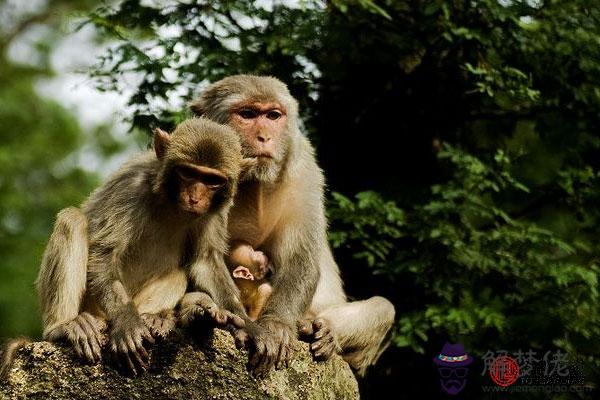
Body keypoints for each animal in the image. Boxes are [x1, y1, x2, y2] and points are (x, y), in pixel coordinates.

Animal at [22, 117, 248, 376]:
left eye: (212, 181)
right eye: (188, 173)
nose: (195, 197)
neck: (171, 202)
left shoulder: (216, 211)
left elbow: (205, 261)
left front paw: (246, 325)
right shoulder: (129, 185)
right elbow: (106, 252)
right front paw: (127, 323)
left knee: (179, 274)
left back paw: (157, 318)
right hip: (92, 306)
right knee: (72, 220)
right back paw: (64, 326)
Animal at [190, 76, 396, 378]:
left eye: (273, 116)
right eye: (247, 114)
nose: (265, 137)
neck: (254, 184)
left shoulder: (304, 172)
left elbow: (299, 259)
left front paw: (276, 326)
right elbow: (202, 258)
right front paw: (240, 325)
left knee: (384, 307)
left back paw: (320, 331)